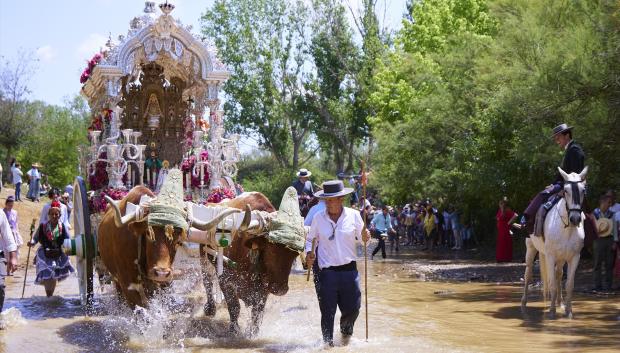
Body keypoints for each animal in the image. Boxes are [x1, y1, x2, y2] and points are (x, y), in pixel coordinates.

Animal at [520, 166, 588, 318]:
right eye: (566, 190)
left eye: (583, 190)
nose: (575, 218)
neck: (567, 228)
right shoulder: (550, 256)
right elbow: (551, 283)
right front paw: (551, 311)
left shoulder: (575, 257)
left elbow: (569, 284)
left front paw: (568, 312)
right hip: (531, 248)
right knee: (528, 274)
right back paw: (524, 302)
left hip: (561, 257)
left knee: (558, 275)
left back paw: (559, 303)